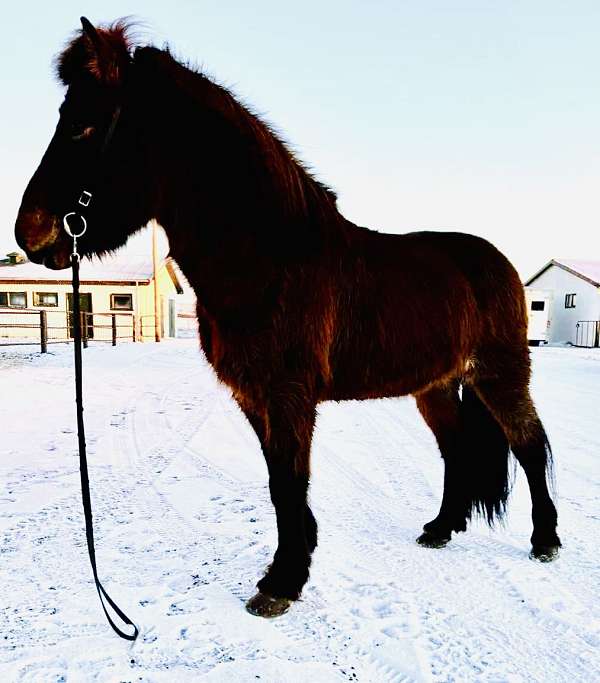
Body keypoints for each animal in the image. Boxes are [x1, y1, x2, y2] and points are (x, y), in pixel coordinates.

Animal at [14, 20, 560, 620]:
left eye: (83, 125)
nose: (28, 233)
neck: (269, 262)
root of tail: (498, 263)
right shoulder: (253, 395)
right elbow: (279, 480)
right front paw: (299, 551)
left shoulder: (288, 394)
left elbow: (288, 480)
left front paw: (283, 580)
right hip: (435, 387)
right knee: (457, 448)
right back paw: (441, 528)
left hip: (500, 375)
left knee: (530, 444)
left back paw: (545, 540)